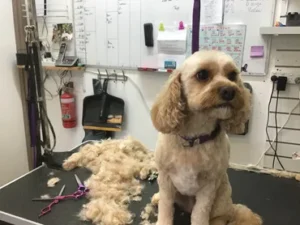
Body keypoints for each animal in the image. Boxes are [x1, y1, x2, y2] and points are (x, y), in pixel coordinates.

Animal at [151, 51, 262, 225]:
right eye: (202, 74)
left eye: (232, 75)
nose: (230, 90)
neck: (194, 137)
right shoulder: (165, 179)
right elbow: (166, 206)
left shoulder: (209, 186)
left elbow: (200, 213)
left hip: (222, 196)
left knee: (221, 217)